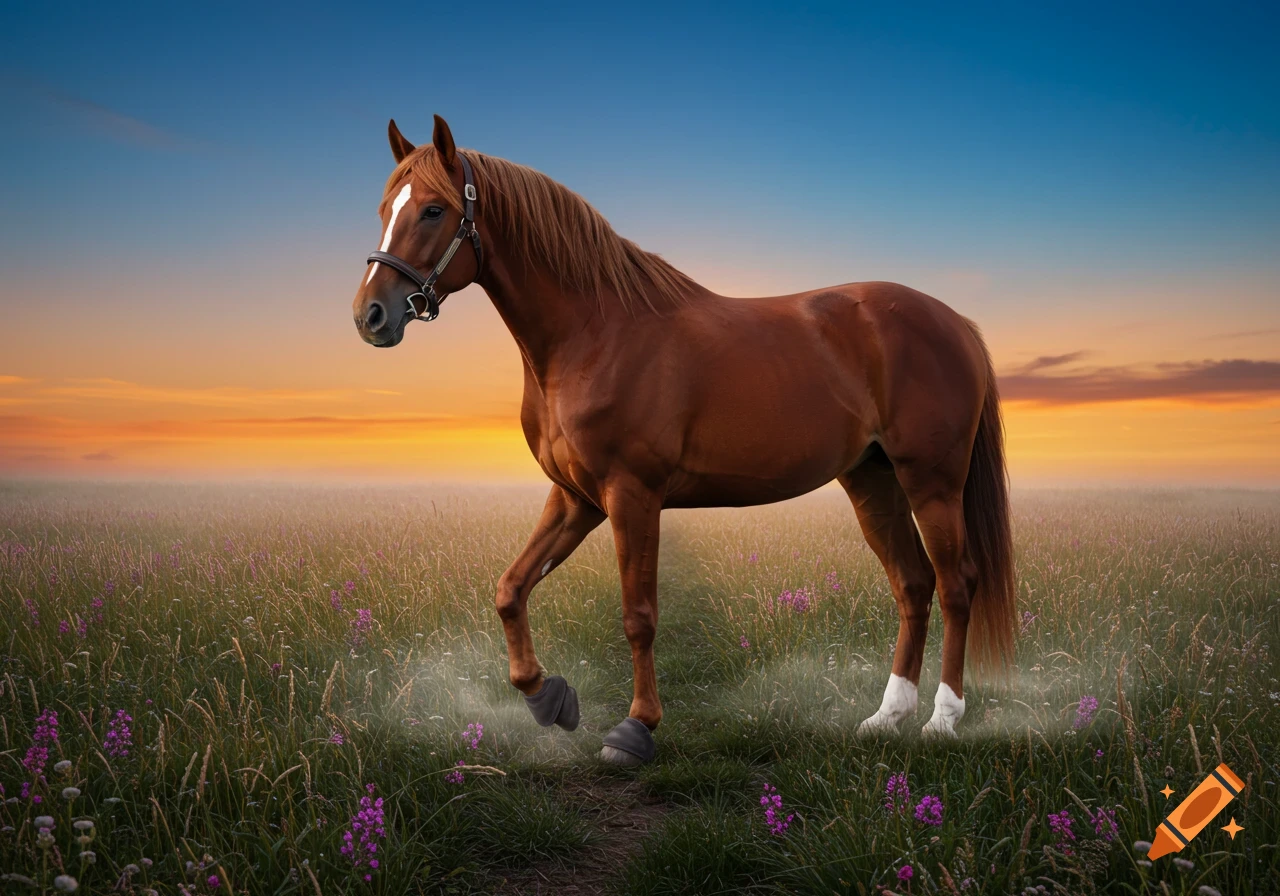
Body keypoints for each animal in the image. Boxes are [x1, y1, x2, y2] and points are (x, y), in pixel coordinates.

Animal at [351, 115, 1016, 765]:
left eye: (433, 210)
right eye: (384, 208)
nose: (370, 316)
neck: (595, 332)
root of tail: (955, 322)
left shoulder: (632, 495)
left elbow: (638, 615)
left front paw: (635, 729)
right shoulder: (576, 498)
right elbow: (510, 589)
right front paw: (549, 699)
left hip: (931, 481)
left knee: (956, 585)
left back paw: (942, 720)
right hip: (872, 481)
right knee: (913, 584)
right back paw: (886, 717)